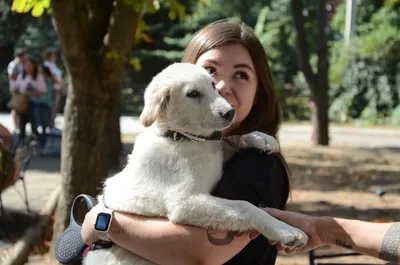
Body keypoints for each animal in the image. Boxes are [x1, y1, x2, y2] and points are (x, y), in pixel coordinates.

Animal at [84, 63, 308, 262]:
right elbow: (245, 206)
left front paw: (260, 137)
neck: (181, 137)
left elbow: (226, 138)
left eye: (213, 85)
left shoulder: (214, 152)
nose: (230, 112)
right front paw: (285, 230)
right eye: (192, 94)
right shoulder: (184, 202)